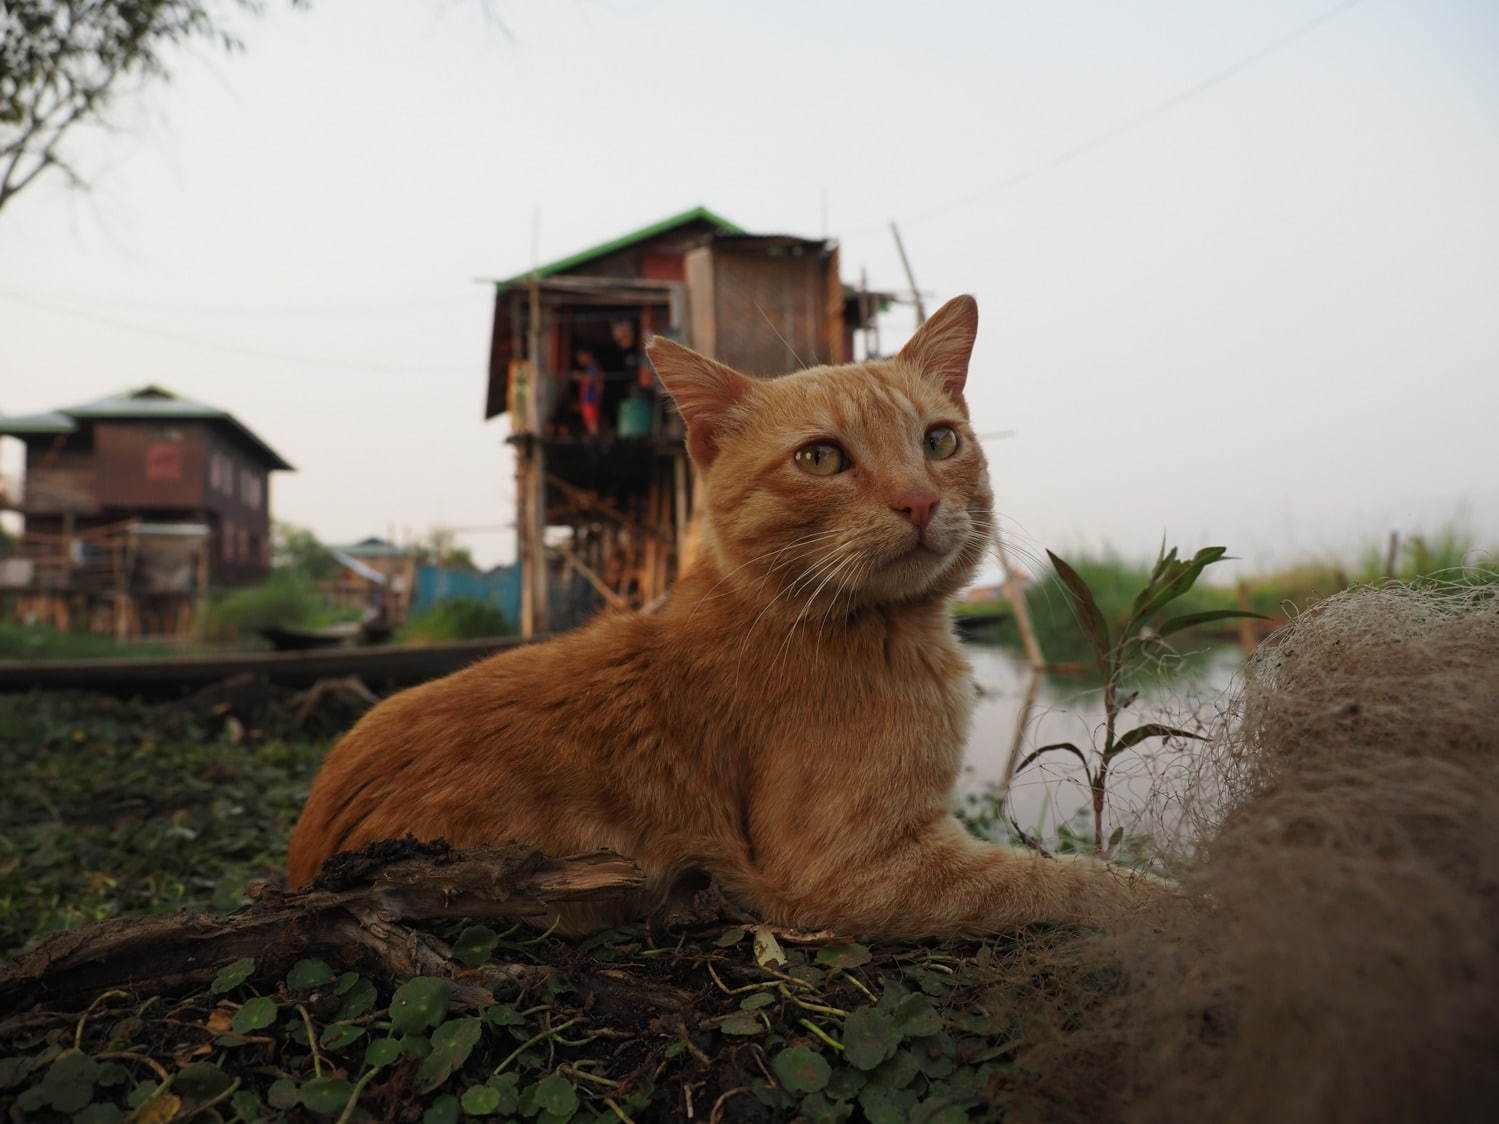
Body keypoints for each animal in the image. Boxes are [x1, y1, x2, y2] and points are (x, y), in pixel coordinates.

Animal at [289, 299, 1157, 941]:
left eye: (940, 441)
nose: (918, 500)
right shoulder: (853, 872)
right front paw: (1161, 900)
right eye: (819, 458)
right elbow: (1062, 879)